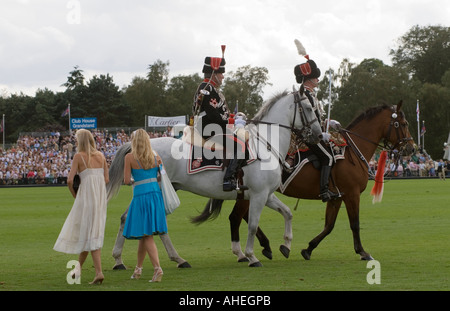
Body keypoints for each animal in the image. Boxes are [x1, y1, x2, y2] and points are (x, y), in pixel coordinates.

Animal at [107, 91, 322, 268]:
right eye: (308, 108)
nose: (319, 135)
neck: (265, 145)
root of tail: (142, 144)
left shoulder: (266, 195)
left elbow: (287, 213)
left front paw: (286, 245)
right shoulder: (259, 195)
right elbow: (253, 225)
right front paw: (252, 256)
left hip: (167, 190)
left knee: (130, 218)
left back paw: (130, 260)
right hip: (157, 191)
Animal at [192, 101, 416, 262]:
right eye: (403, 124)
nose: (411, 148)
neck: (352, 150)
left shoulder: (337, 197)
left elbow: (329, 225)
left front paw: (308, 248)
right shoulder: (351, 194)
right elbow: (355, 224)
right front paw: (362, 251)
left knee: (241, 217)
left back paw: (264, 247)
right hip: (252, 192)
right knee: (238, 217)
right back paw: (256, 249)